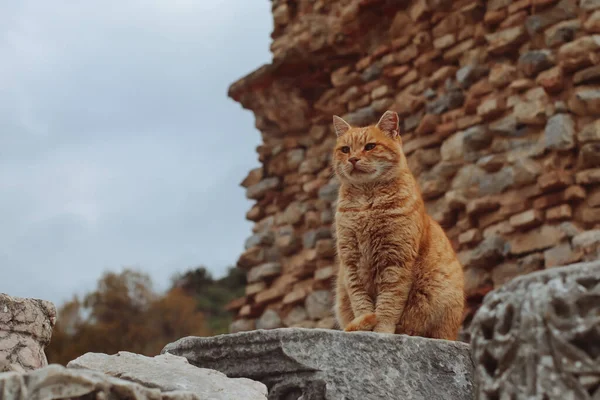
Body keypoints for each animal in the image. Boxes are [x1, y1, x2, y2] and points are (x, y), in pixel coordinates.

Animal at [332, 110, 464, 340]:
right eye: (345, 149)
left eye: (370, 146)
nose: (353, 158)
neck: (366, 202)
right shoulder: (351, 262)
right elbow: (361, 302)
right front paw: (365, 326)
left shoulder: (395, 260)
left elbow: (388, 304)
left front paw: (381, 332)